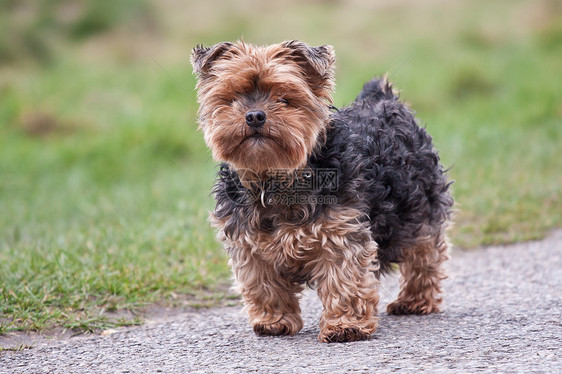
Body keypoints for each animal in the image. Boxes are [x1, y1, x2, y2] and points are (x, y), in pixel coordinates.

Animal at [190, 40, 452, 342]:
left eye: (284, 98)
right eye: (233, 97)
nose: (254, 116)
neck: (277, 176)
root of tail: (382, 97)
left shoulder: (340, 232)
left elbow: (344, 279)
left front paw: (345, 325)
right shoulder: (249, 243)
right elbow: (264, 284)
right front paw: (273, 320)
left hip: (419, 205)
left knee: (425, 252)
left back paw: (415, 300)